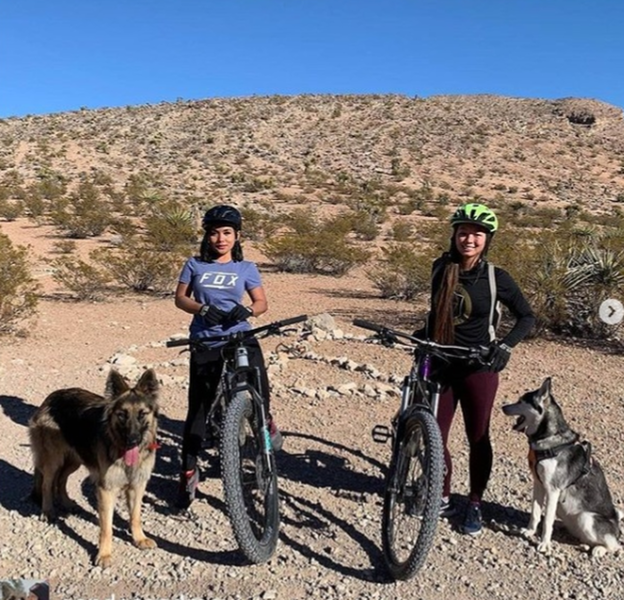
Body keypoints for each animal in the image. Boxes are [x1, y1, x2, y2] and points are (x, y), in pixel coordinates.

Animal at [29, 366, 161, 568]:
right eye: (122, 415)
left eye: (142, 414)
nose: (132, 440)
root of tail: (52, 396)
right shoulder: (106, 489)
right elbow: (106, 527)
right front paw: (104, 554)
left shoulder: (137, 486)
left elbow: (135, 516)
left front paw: (139, 539)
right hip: (54, 460)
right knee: (47, 484)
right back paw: (48, 511)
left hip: (74, 460)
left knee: (61, 480)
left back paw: (68, 503)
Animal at [504, 378, 620, 556]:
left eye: (521, 401)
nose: (502, 407)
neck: (549, 439)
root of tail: (618, 529)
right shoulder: (538, 484)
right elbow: (535, 513)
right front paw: (530, 531)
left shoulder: (553, 490)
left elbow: (547, 521)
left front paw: (544, 544)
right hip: (564, 510)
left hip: (586, 518)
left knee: (615, 546)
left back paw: (599, 549)